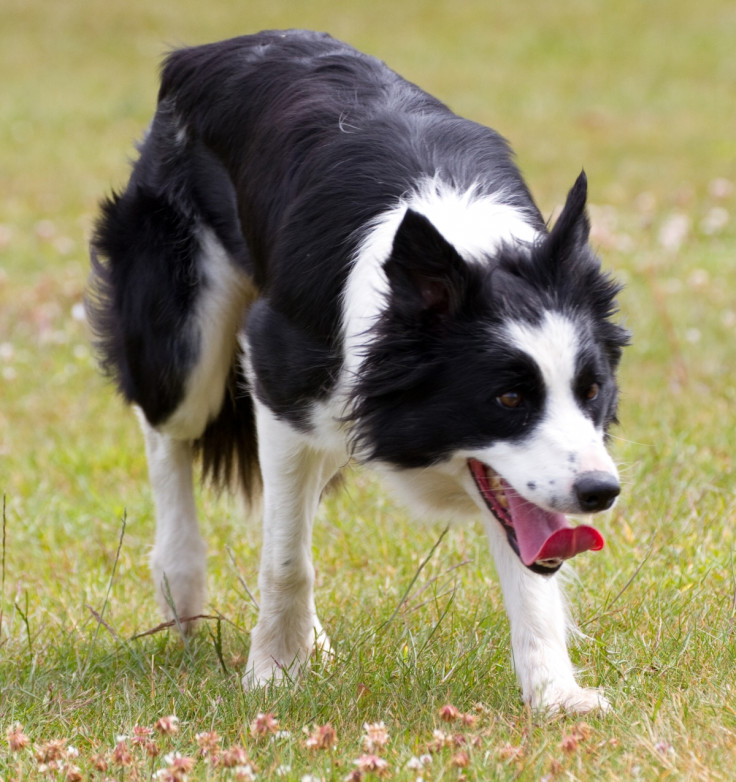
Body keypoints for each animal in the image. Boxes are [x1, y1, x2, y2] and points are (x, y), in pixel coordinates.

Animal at [86, 30, 628, 712]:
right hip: (185, 331)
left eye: (591, 390)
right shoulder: (277, 373)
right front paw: (275, 672)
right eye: (508, 399)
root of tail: (207, 49)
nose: (601, 491)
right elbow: (287, 557)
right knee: (167, 431)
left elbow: (531, 564)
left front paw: (555, 694)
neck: (463, 249)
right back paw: (181, 585)